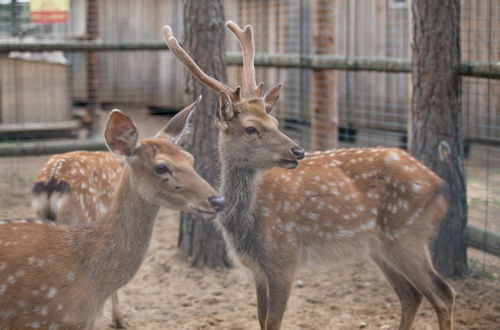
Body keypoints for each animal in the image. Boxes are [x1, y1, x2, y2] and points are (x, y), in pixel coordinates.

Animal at [164, 21, 454, 330]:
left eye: (275, 121)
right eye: (251, 128)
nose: (298, 150)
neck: (245, 227)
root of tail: (438, 184)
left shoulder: (285, 258)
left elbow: (273, 321)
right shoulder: (256, 269)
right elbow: (261, 319)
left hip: (407, 234)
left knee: (443, 293)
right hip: (382, 247)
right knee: (411, 295)